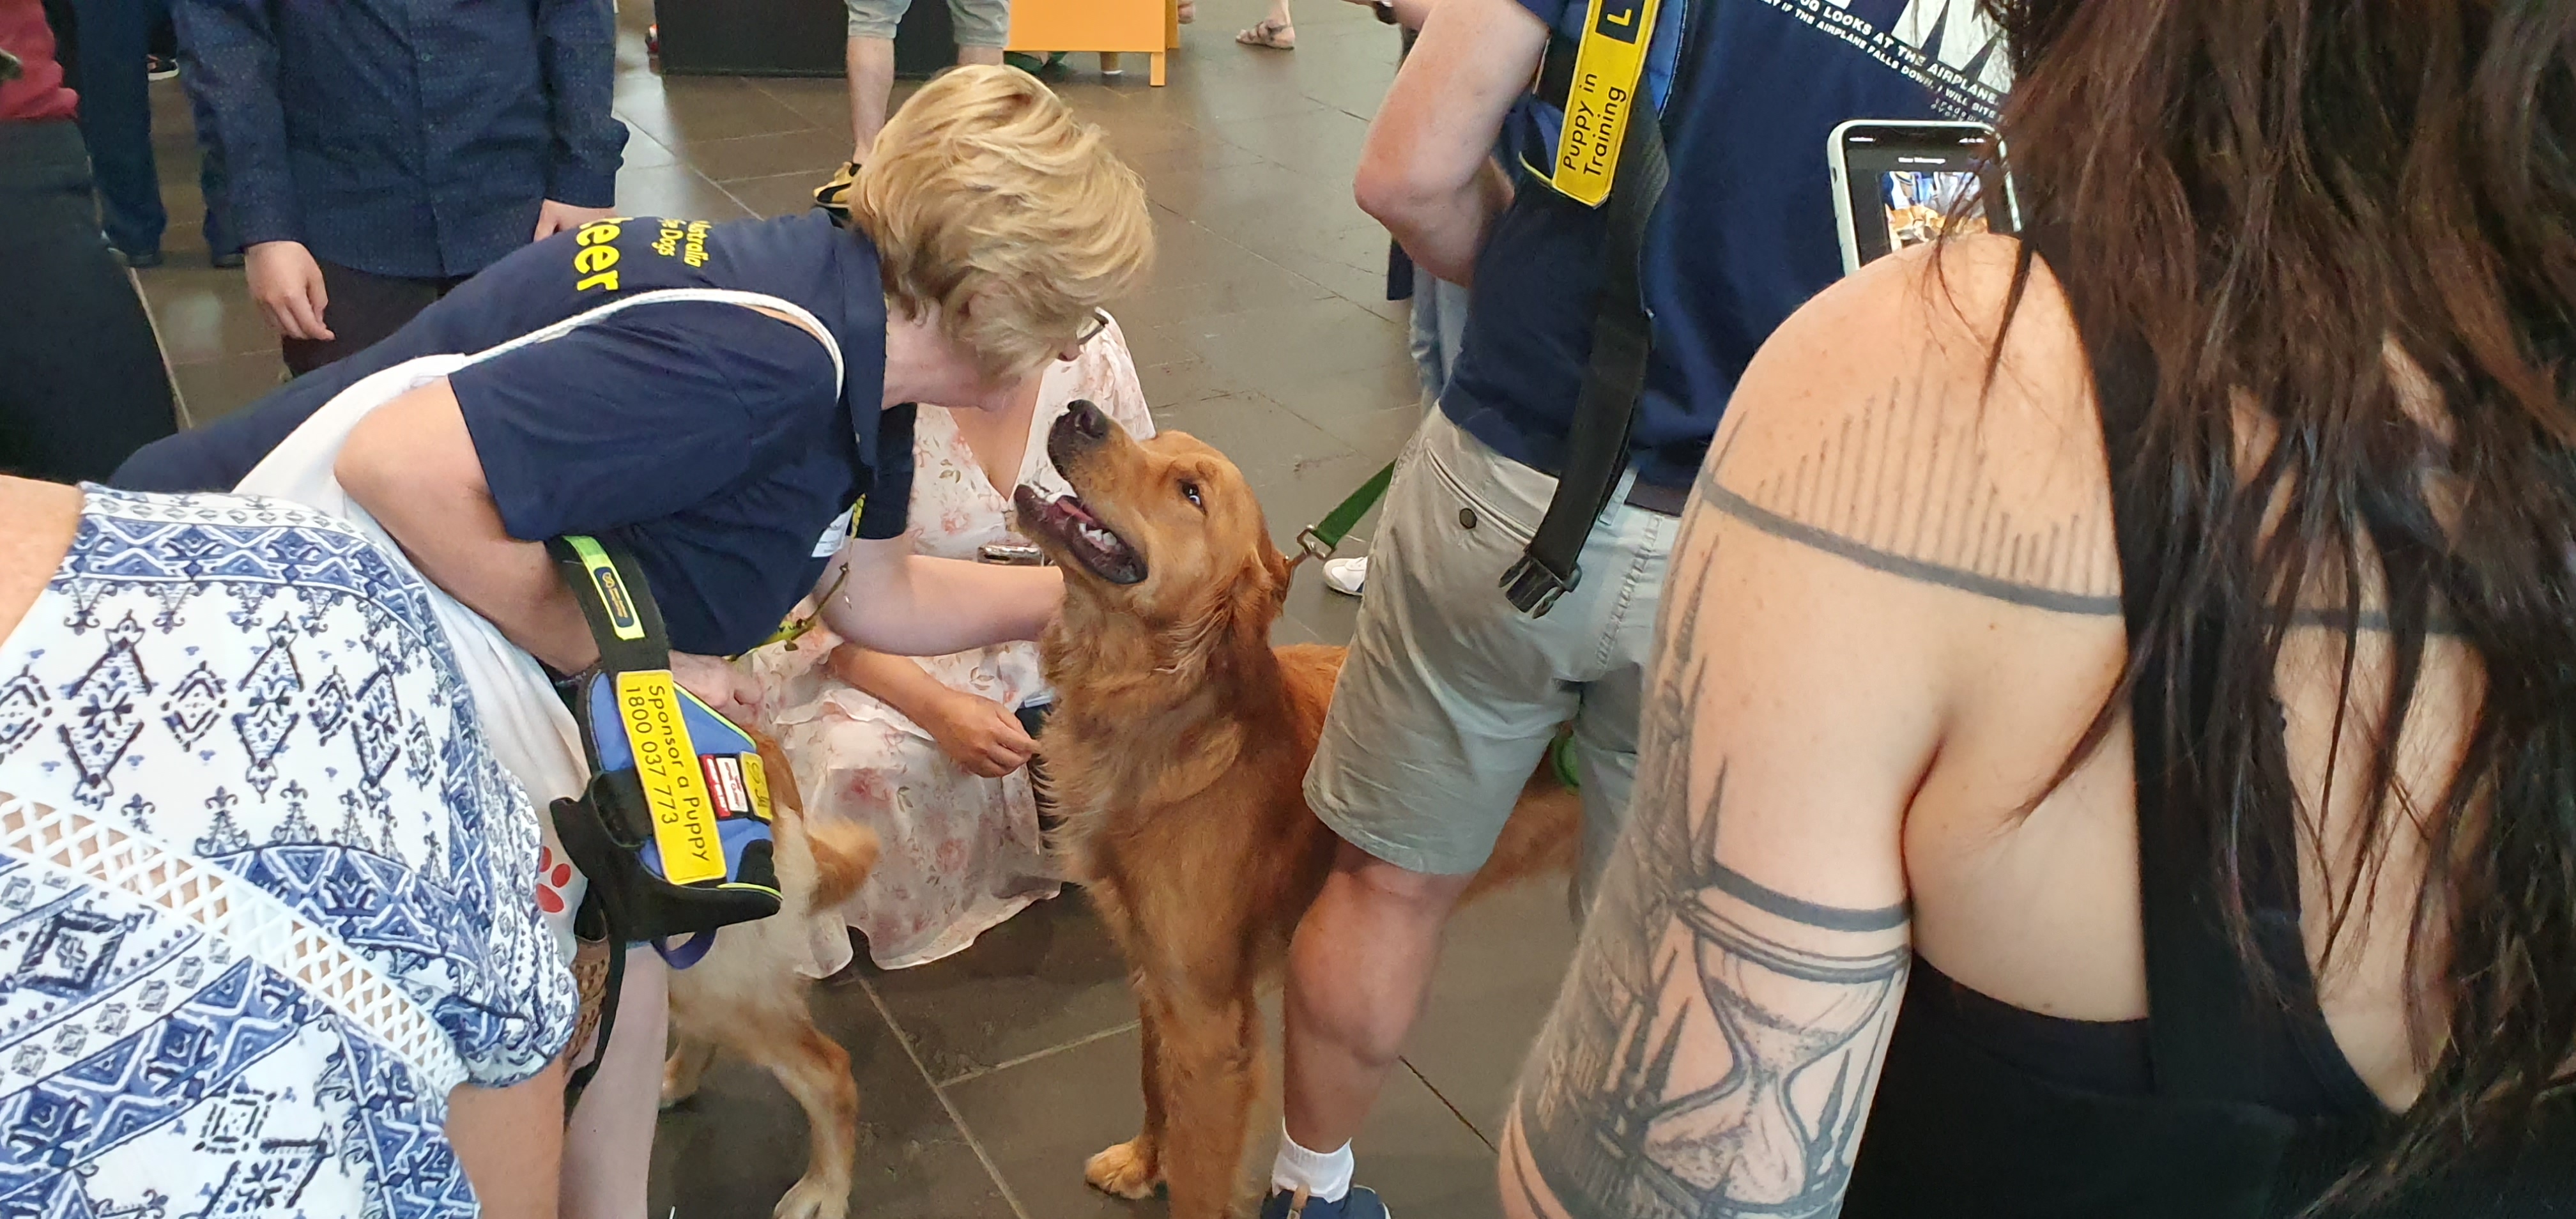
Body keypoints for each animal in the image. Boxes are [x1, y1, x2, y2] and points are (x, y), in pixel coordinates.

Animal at [1004, 404, 1566, 1211]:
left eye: (1191, 493)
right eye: (1157, 443)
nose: (1079, 413)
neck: (1168, 712)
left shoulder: (1210, 1020)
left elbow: (1202, 1174)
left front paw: (1172, 1174)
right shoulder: (1156, 969)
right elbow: (1151, 1081)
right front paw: (1144, 1163)